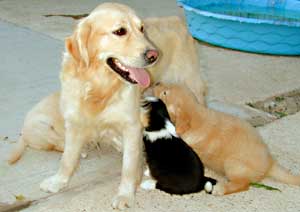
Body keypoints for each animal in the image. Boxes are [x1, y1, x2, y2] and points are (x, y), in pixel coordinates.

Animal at [154, 84, 298, 195]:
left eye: (165, 93)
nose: (156, 83)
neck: (196, 116)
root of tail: (270, 163)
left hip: (233, 164)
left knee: (243, 184)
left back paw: (221, 189)